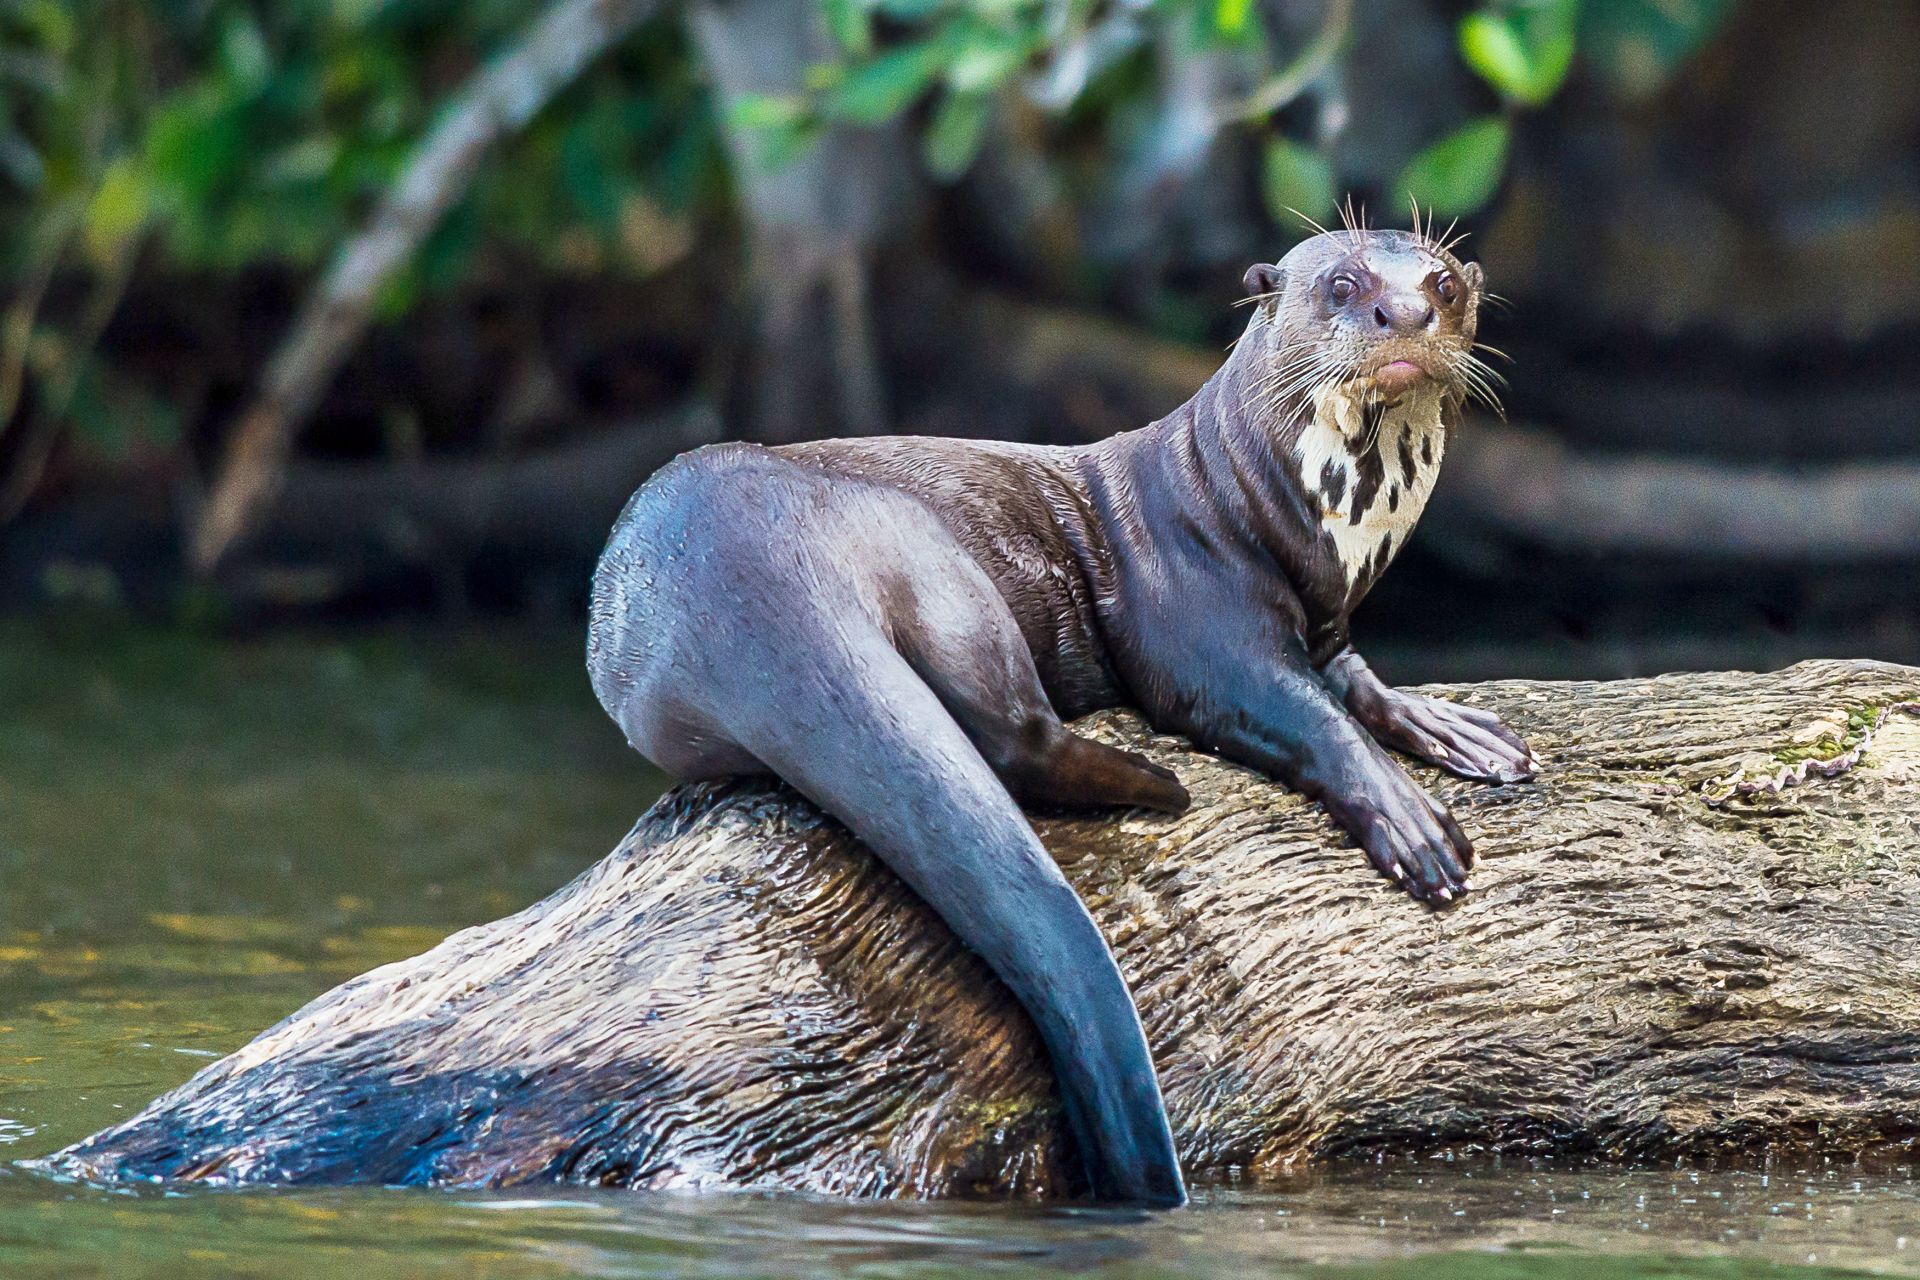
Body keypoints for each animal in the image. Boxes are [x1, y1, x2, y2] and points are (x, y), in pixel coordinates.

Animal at [583, 220, 1528, 1212]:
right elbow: (1292, 709)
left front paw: (1457, 731)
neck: (1272, 509)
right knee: (1010, 734)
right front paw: (1411, 822)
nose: (1406, 313)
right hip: (926, 554)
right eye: (1343, 284)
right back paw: (1158, 785)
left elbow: (1357, 680)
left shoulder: (1330, 619)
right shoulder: (1197, 618)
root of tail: (735, 571)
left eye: (1444, 284)